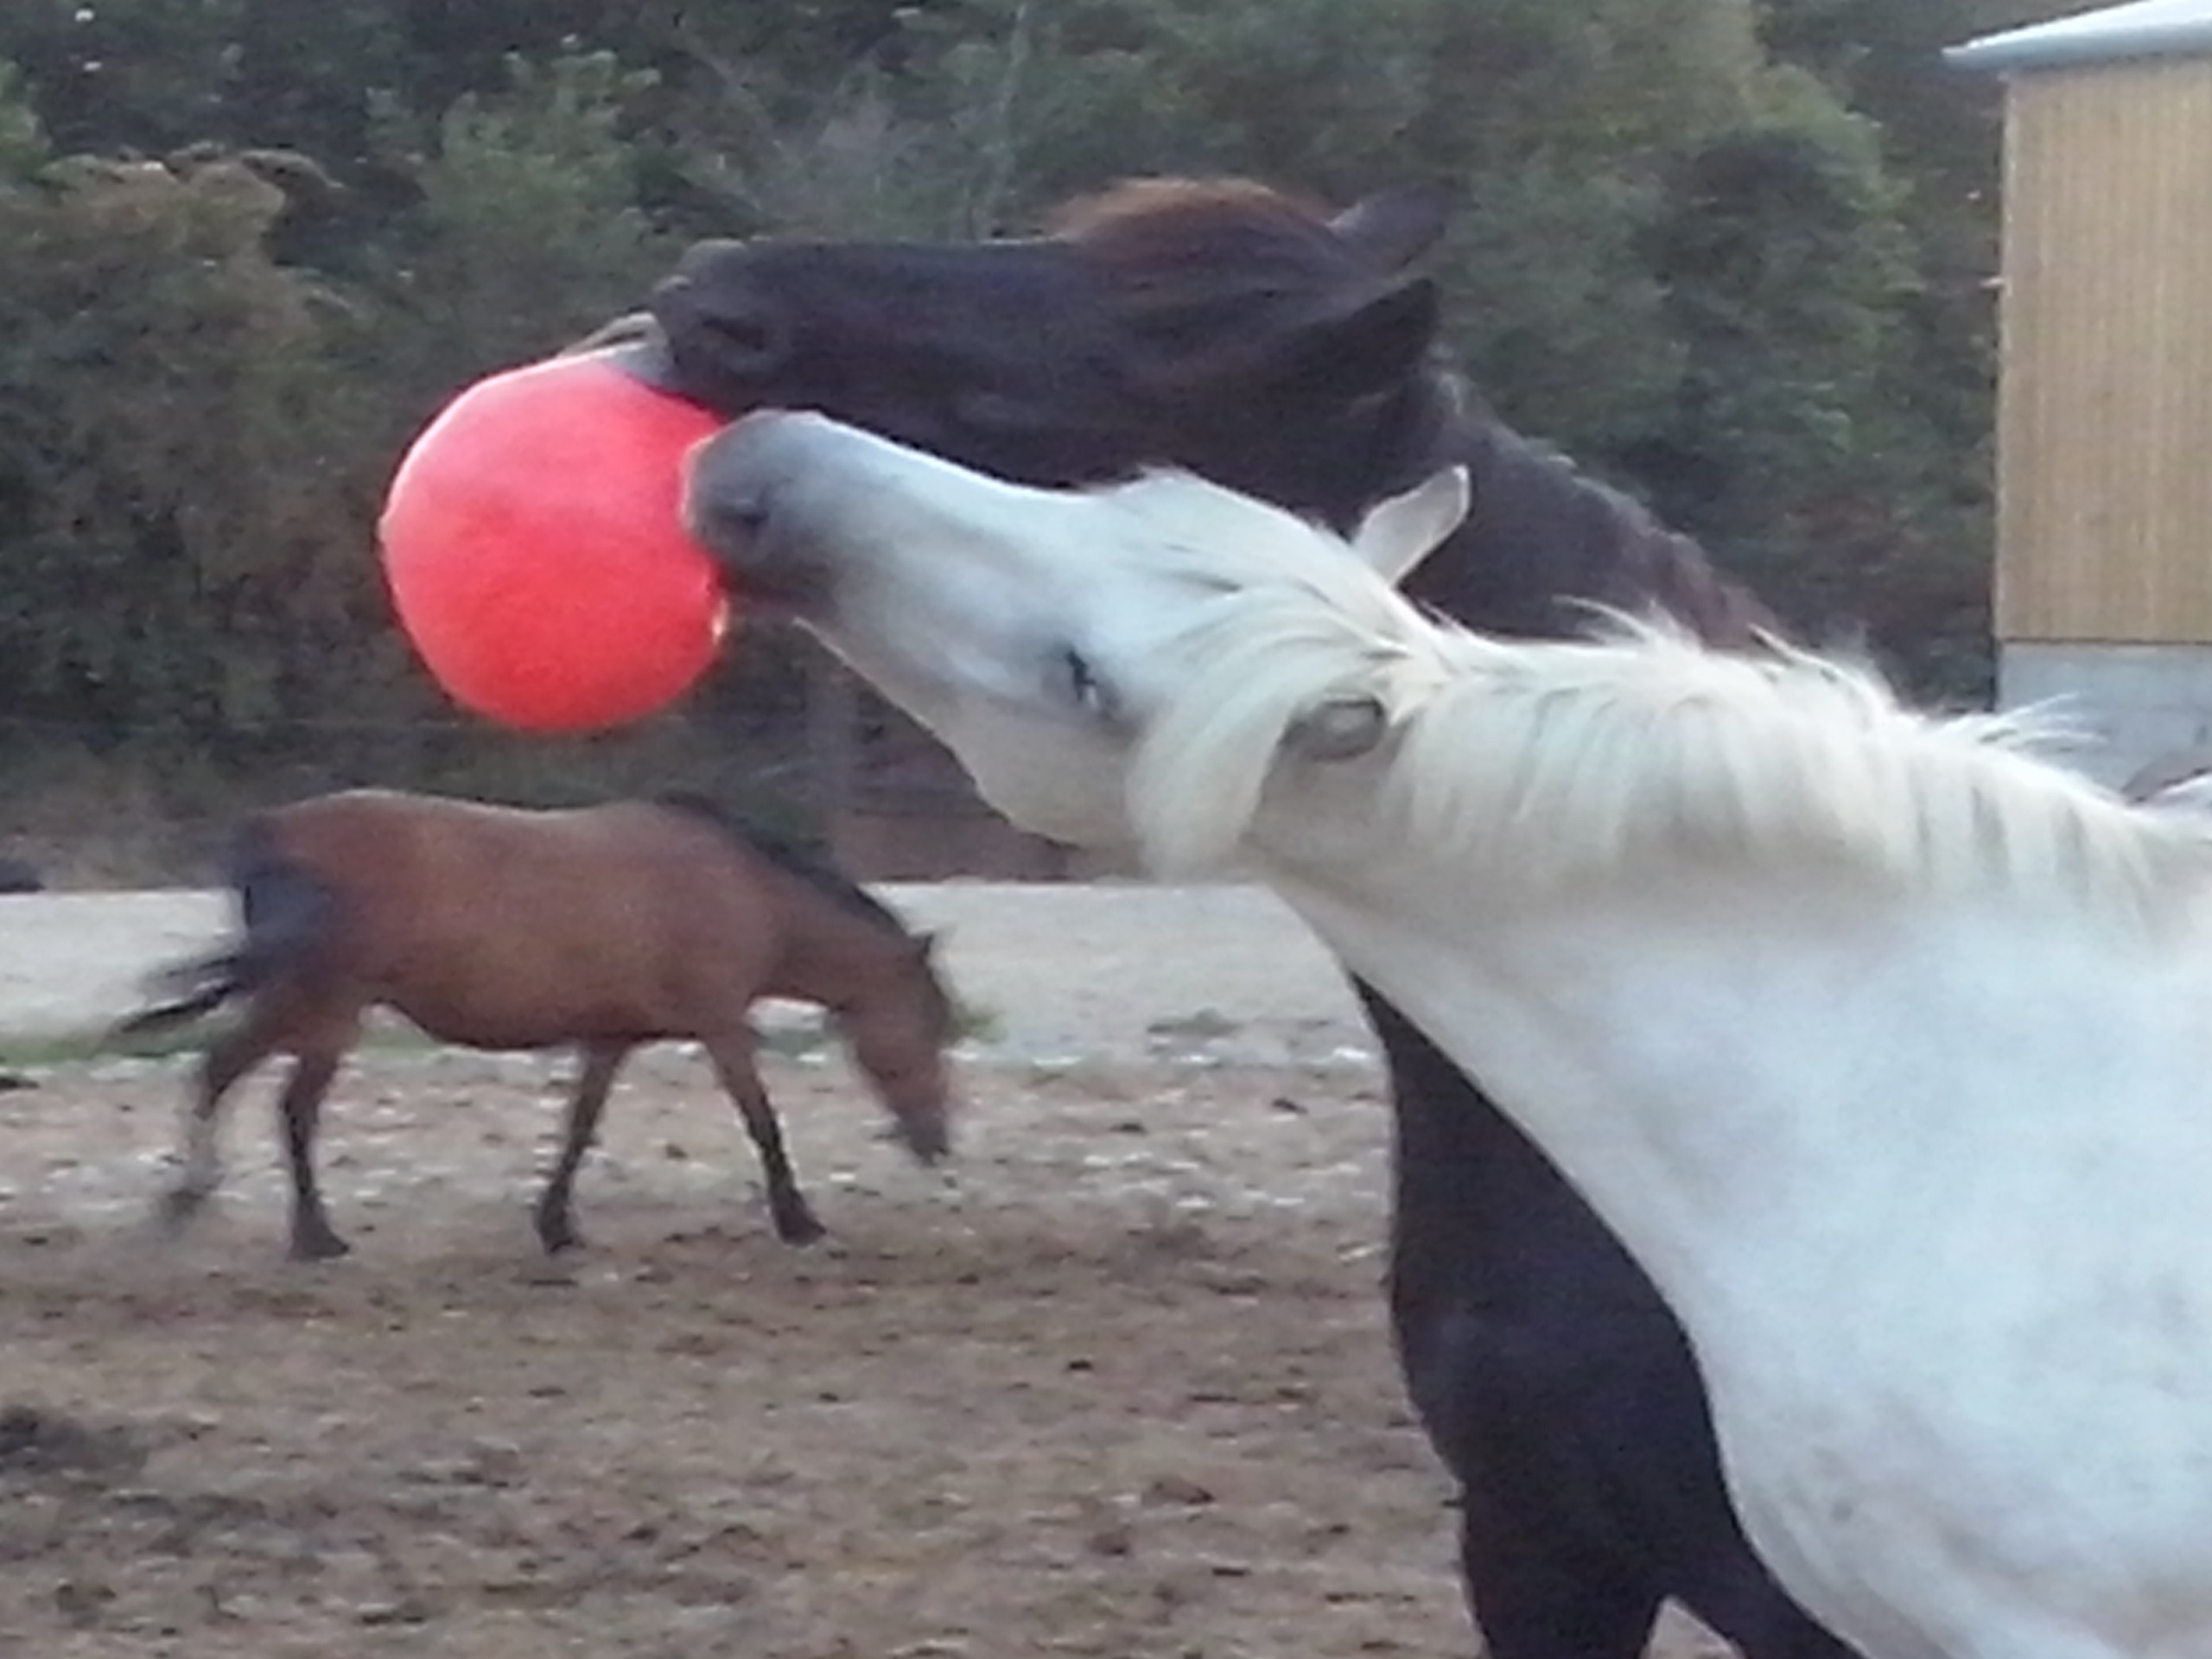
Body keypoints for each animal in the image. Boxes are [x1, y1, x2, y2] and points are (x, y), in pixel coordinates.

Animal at [118, 791, 950, 1256]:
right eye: (929, 1029)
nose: (937, 1143)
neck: (743, 890)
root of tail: (274, 829)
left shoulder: (611, 1039)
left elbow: (580, 1127)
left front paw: (556, 1225)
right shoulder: (721, 1027)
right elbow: (762, 1121)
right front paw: (798, 1220)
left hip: (296, 1002)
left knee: (218, 1070)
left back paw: (185, 1201)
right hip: (326, 1008)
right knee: (291, 1108)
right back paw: (313, 1237)